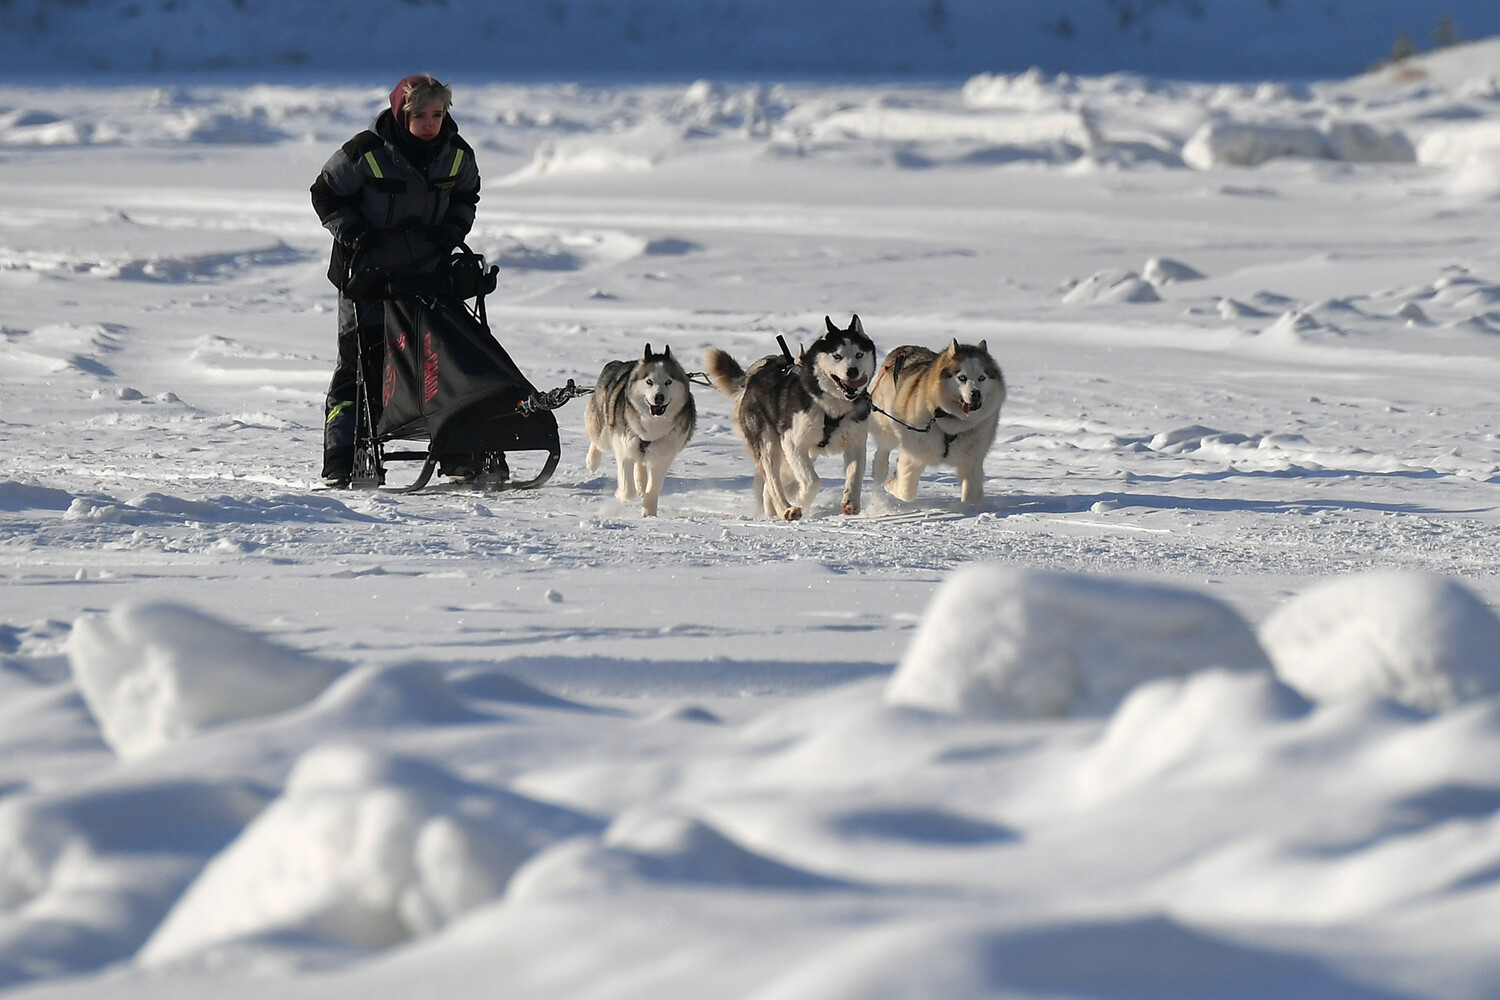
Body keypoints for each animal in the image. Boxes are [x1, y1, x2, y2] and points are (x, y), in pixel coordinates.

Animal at [588, 344, 699, 515]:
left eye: (668, 382)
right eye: (649, 381)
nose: (659, 397)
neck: (652, 423)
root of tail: (618, 363)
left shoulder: (664, 455)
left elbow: (653, 490)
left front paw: (649, 514)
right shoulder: (623, 446)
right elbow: (628, 489)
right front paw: (621, 495)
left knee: (640, 463)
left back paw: (641, 482)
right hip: (605, 429)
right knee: (598, 439)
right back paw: (592, 461)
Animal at [705, 319, 876, 524]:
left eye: (859, 354)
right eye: (837, 356)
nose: (852, 371)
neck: (832, 406)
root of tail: (753, 377)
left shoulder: (855, 443)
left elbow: (855, 475)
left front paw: (851, 502)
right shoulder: (792, 442)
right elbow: (813, 481)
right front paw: (801, 500)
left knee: (771, 486)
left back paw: (773, 511)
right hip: (770, 446)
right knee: (773, 482)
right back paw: (786, 509)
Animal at [870, 340, 1008, 509]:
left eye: (982, 377)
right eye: (962, 377)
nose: (976, 393)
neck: (953, 422)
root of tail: (903, 349)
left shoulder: (972, 460)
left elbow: (972, 496)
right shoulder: (913, 453)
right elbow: (907, 491)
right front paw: (891, 483)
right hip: (887, 424)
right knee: (883, 447)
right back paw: (880, 470)